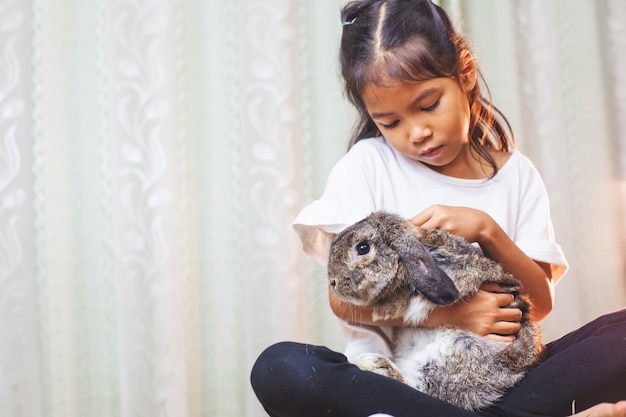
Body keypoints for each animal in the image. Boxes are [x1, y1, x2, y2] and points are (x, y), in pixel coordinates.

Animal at [326, 211, 540, 410]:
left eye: (363, 248)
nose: (333, 282)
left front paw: (386, 309)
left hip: (450, 354)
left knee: (417, 391)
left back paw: (371, 362)